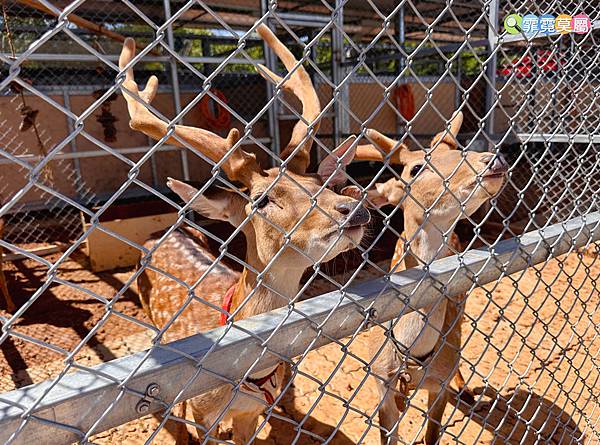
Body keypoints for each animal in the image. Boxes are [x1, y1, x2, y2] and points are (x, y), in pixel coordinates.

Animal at [120, 25, 372, 444]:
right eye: (261, 199)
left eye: (320, 183)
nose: (353, 208)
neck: (249, 379)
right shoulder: (203, 414)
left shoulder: (250, 413)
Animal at [342, 113, 506, 444]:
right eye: (416, 168)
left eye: (458, 149)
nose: (492, 160)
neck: (413, 357)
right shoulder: (381, 385)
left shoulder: (438, 388)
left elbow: (432, 434)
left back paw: (466, 390)